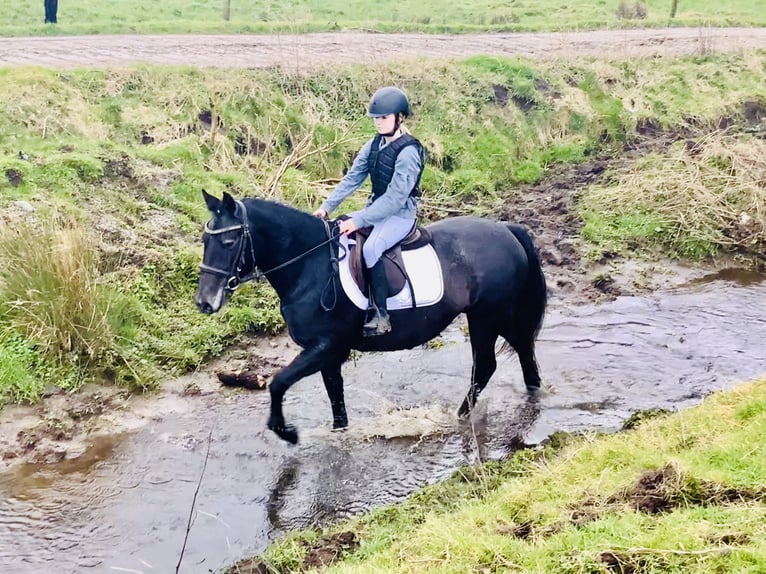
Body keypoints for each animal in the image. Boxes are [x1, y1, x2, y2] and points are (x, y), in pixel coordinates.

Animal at [195, 192, 548, 446]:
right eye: (205, 240)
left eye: (229, 242)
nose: (205, 302)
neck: (311, 265)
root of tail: (506, 229)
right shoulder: (329, 353)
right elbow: (335, 397)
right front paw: (338, 433)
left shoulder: (323, 346)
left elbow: (278, 383)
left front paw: (287, 432)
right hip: (496, 317)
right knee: (523, 352)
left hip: (487, 317)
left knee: (487, 365)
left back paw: (457, 417)